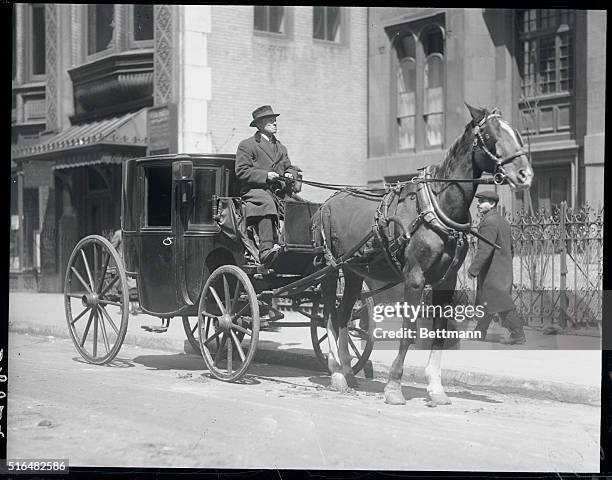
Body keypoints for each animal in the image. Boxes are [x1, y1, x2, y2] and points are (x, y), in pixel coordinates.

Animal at [314, 104, 532, 404]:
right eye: (490, 135)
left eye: (517, 133)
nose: (525, 174)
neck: (437, 205)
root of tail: (328, 202)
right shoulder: (415, 278)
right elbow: (408, 331)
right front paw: (394, 386)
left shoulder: (446, 281)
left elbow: (439, 332)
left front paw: (436, 387)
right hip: (331, 269)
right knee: (328, 315)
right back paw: (336, 371)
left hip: (353, 271)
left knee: (343, 315)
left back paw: (348, 372)